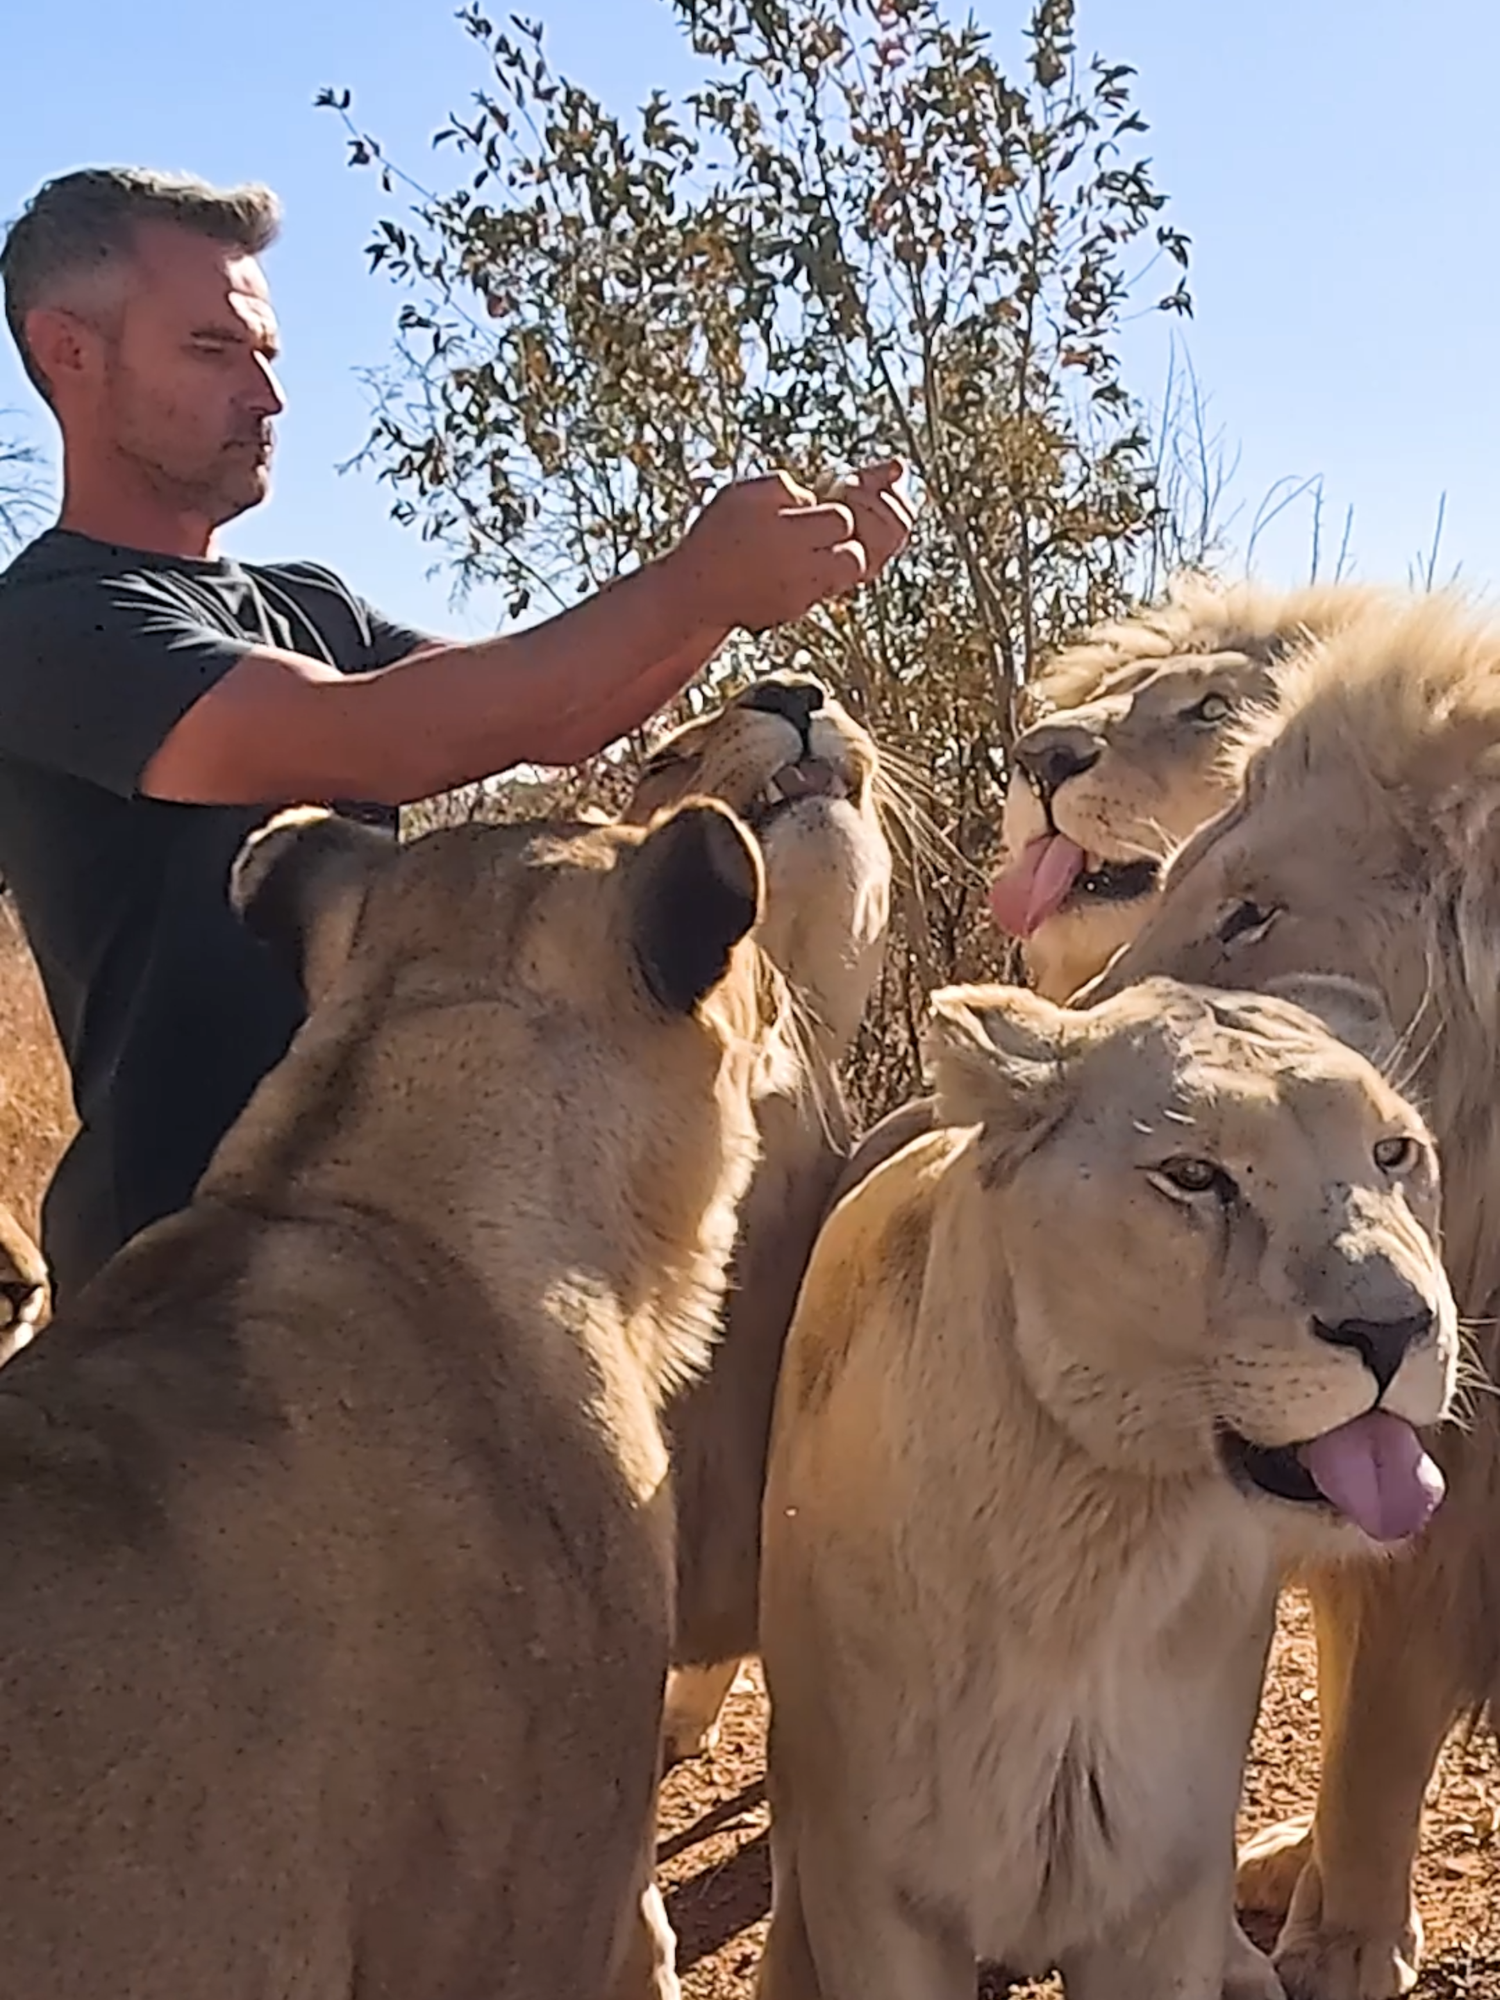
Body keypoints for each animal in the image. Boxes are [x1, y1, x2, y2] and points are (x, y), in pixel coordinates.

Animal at [756, 972, 1464, 2000]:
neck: (1095, 1547)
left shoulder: (1158, 1891)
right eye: (1195, 1176)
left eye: (1393, 1152)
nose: (1395, 1328)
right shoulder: (880, 1893)